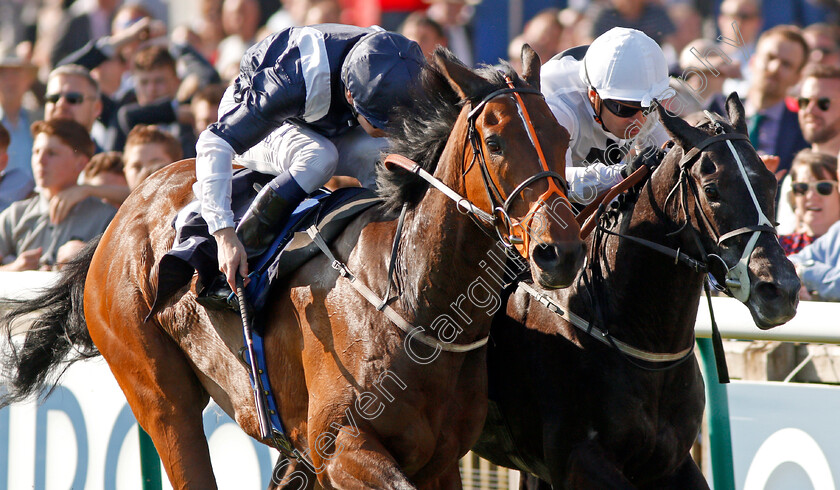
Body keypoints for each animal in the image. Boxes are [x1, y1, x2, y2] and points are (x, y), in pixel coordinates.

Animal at [0, 47, 584, 488]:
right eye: (495, 141)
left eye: (563, 136)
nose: (560, 250)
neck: (415, 300)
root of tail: (127, 207)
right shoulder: (340, 448)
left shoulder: (437, 463)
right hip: (156, 392)